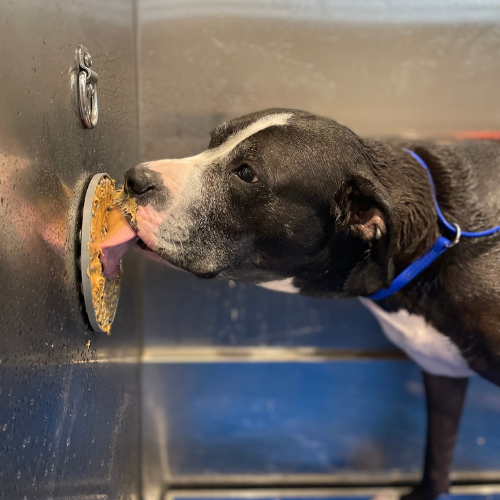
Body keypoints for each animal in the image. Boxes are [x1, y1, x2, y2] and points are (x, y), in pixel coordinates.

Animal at [116, 108, 500, 500]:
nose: (134, 179)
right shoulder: (442, 372)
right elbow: (437, 456)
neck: (434, 240)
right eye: (213, 140)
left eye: (246, 173)